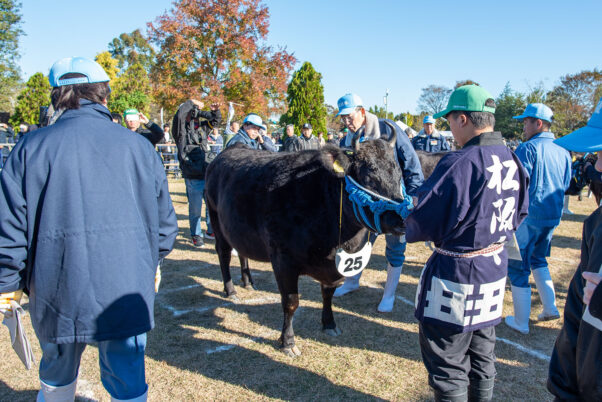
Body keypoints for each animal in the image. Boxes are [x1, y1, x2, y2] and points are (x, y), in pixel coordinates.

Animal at [204, 128, 406, 354]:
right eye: (368, 175)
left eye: (398, 174)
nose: (400, 219)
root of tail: (229, 150)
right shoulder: (283, 259)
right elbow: (291, 302)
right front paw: (288, 342)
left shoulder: (334, 266)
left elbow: (328, 294)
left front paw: (329, 324)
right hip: (215, 218)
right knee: (224, 254)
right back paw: (230, 290)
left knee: (242, 253)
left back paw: (248, 282)